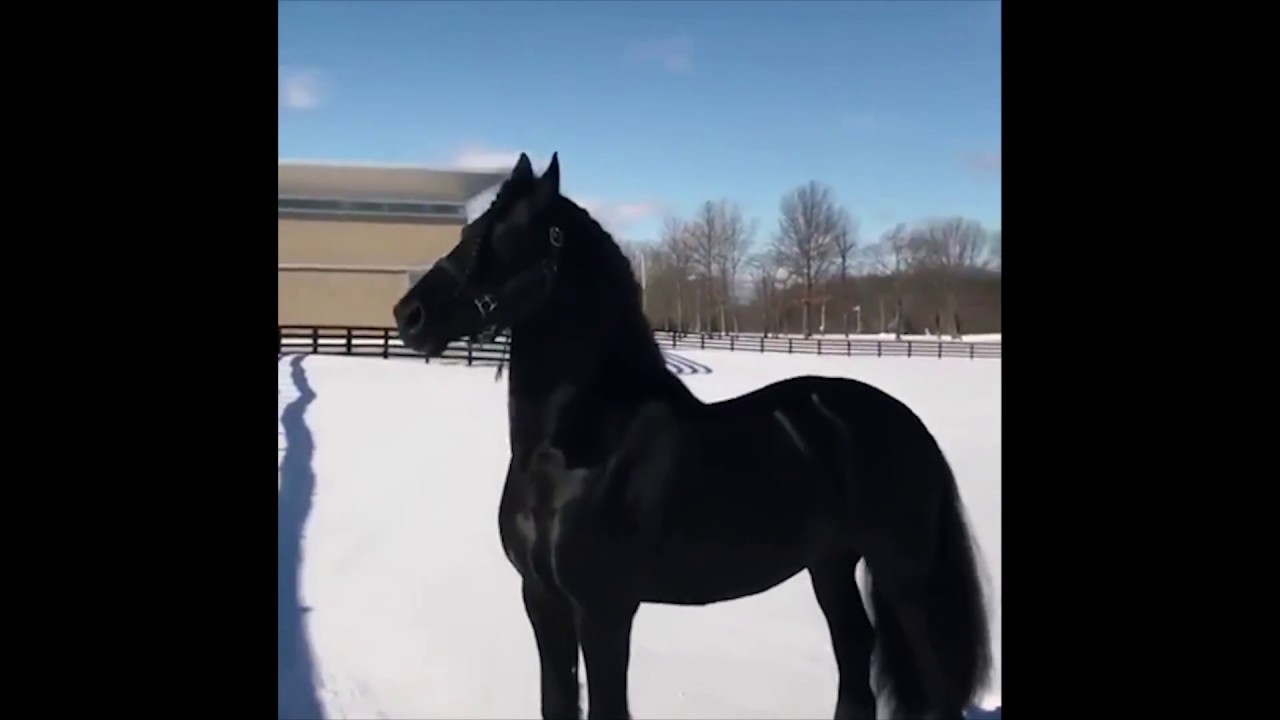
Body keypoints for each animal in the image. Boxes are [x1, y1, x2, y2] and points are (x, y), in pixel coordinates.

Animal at [392, 152, 992, 720]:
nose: (408, 315)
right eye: (469, 232)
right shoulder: (541, 600)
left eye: (501, 240)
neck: (575, 453)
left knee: (934, 678)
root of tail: (908, 423)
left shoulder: (604, 609)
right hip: (830, 562)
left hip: (904, 576)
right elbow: (556, 703)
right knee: (854, 649)